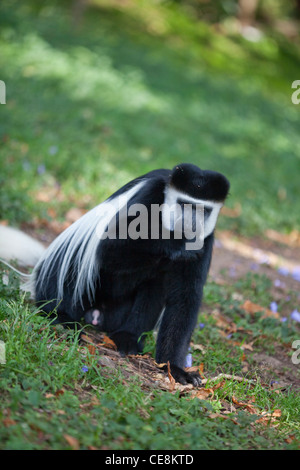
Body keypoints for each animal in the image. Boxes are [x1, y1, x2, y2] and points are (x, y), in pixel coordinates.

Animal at [31, 163, 230, 384]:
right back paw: (61, 317)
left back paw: (127, 338)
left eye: (204, 210)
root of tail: (96, 313)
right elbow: (109, 247)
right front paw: (177, 242)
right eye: (184, 204)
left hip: (117, 313)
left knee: (155, 284)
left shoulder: (205, 239)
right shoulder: (149, 195)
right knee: (77, 263)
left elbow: (185, 297)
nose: (190, 224)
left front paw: (177, 369)